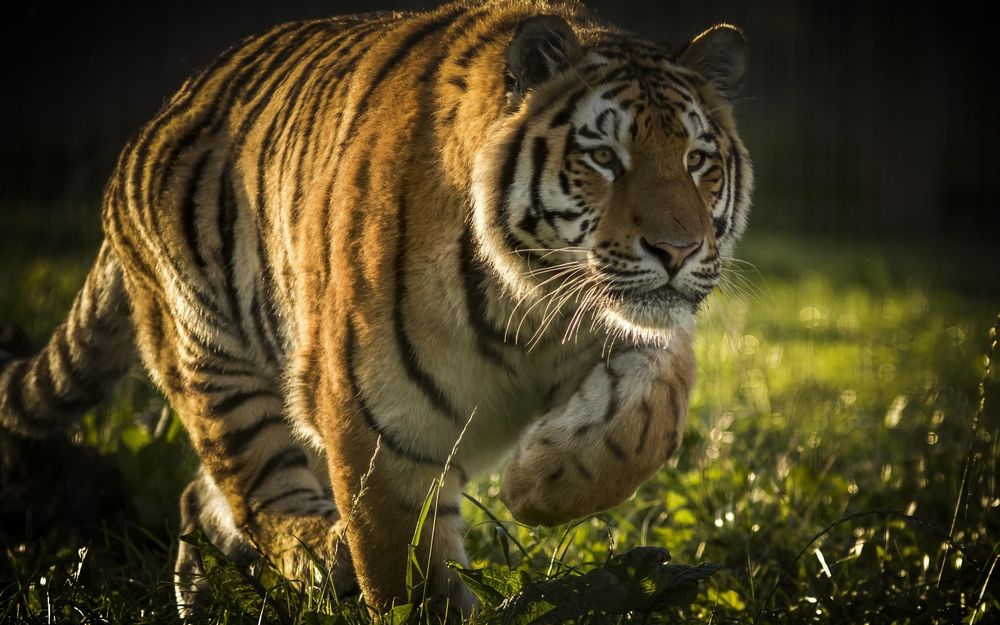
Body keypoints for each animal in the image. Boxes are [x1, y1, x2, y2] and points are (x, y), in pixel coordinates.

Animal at [0, 0, 752, 619]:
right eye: (602, 156)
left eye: (697, 160)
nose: (678, 250)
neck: (530, 305)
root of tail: (148, 128)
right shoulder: (377, 421)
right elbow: (406, 571)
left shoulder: (640, 334)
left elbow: (646, 424)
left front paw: (538, 482)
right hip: (215, 358)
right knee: (256, 497)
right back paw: (320, 556)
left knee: (198, 499)